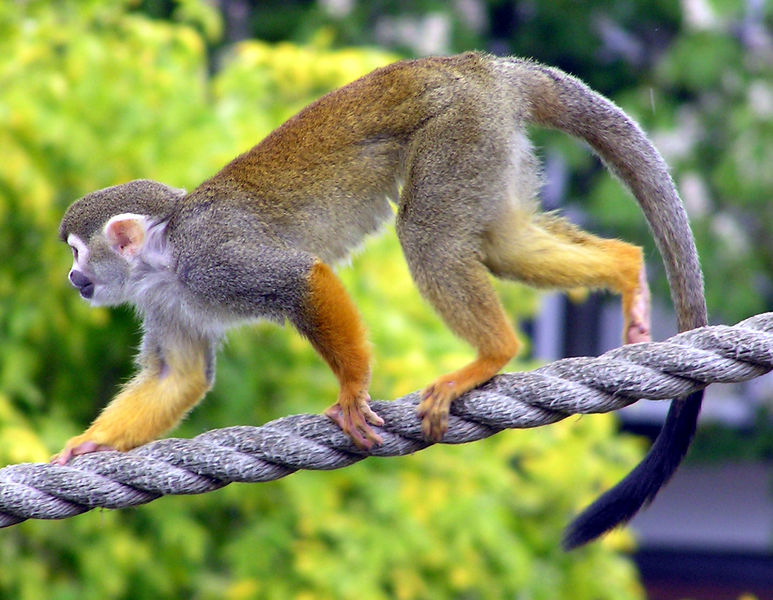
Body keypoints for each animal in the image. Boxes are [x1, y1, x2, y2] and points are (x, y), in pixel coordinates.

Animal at [52, 52, 706, 548]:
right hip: (491, 144)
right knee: (503, 244)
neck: (164, 256)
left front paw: (350, 390)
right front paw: (89, 444)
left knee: (427, 236)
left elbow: (303, 278)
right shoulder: (164, 300)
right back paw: (625, 269)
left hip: (458, 130)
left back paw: (493, 353)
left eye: (78, 252)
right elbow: (180, 375)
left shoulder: (213, 257)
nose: (74, 278)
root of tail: (483, 65)